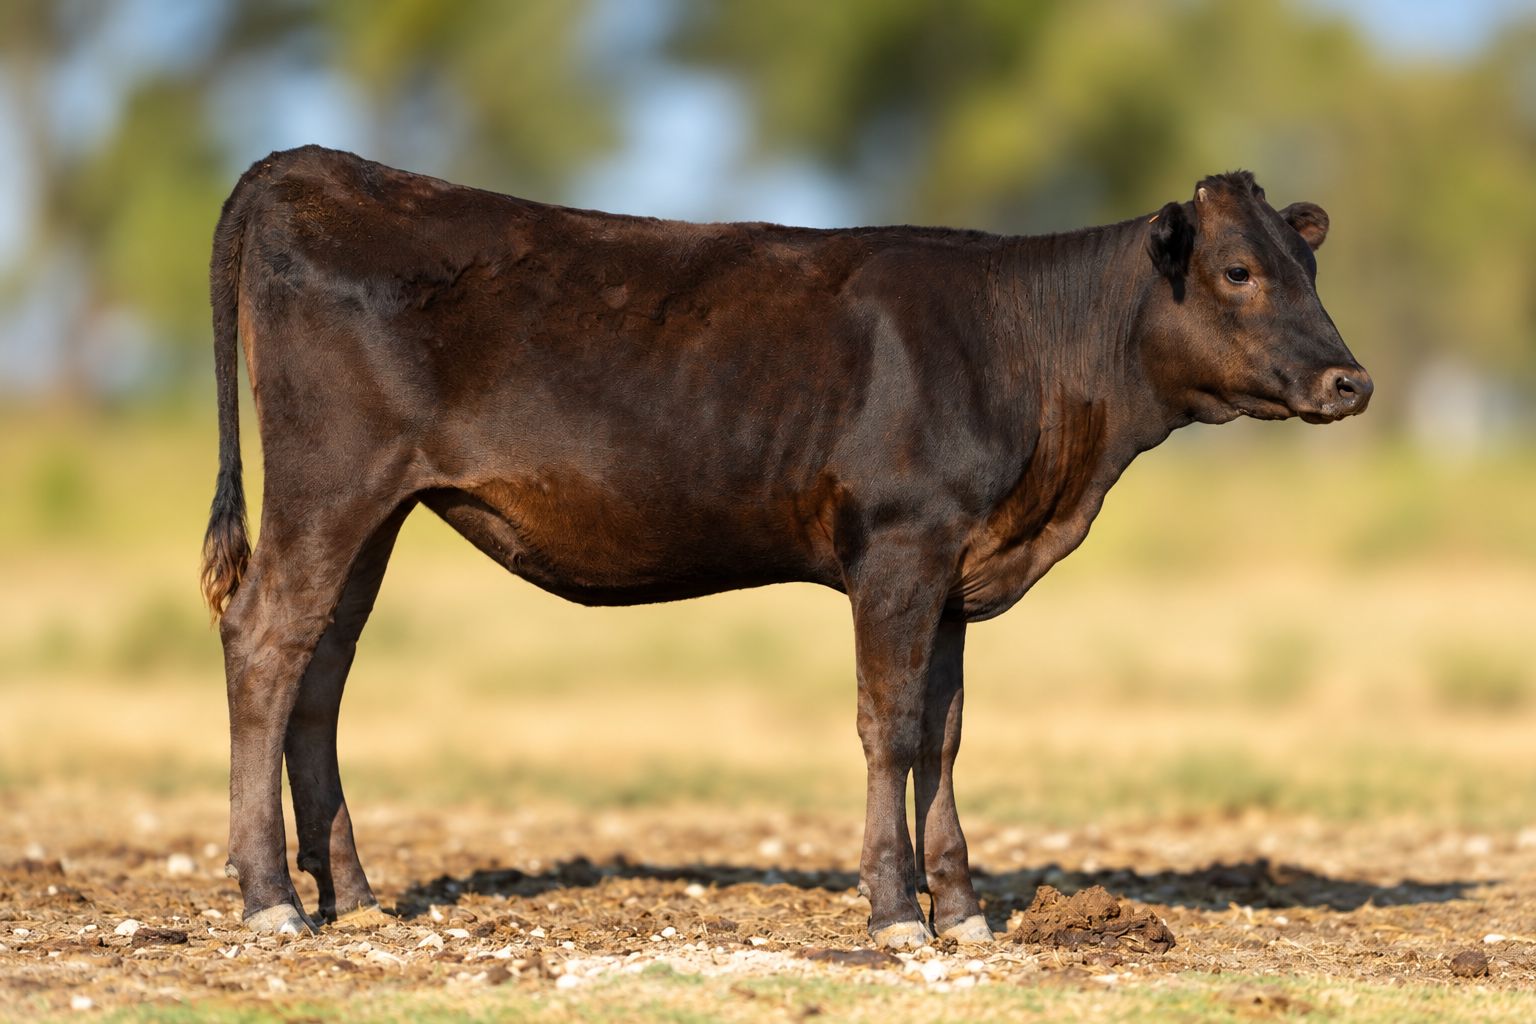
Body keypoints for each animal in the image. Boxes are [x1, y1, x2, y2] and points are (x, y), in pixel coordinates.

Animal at [201, 146, 1370, 947]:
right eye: (1236, 271)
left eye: (1311, 267)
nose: (1350, 380)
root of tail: (310, 165)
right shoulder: (898, 546)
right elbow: (888, 726)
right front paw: (896, 911)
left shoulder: (955, 568)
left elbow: (945, 734)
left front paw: (964, 909)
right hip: (331, 483)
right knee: (265, 640)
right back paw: (271, 900)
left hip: (377, 511)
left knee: (321, 669)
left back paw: (354, 897)